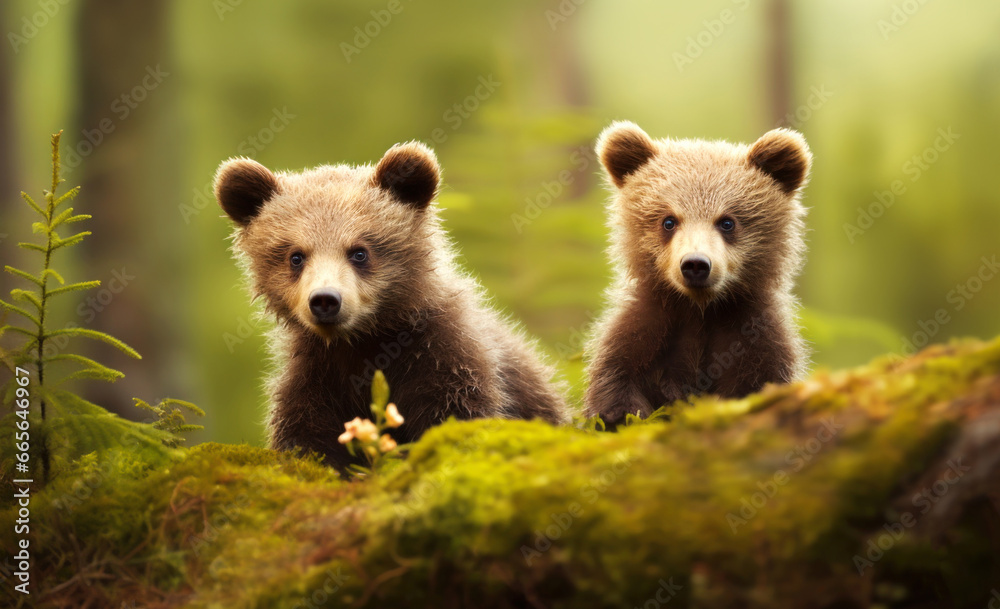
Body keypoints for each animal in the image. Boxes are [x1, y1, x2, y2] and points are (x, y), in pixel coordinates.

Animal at [214, 141, 569, 469]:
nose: (325, 300)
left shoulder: (447, 359)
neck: (365, 342)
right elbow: (308, 437)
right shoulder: (316, 377)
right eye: (296, 256)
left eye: (359, 251)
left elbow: (457, 414)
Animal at [583, 121, 811, 427]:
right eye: (668, 221)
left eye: (727, 222)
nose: (695, 264)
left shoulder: (754, 337)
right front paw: (619, 414)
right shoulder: (649, 329)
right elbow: (617, 383)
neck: (701, 310)